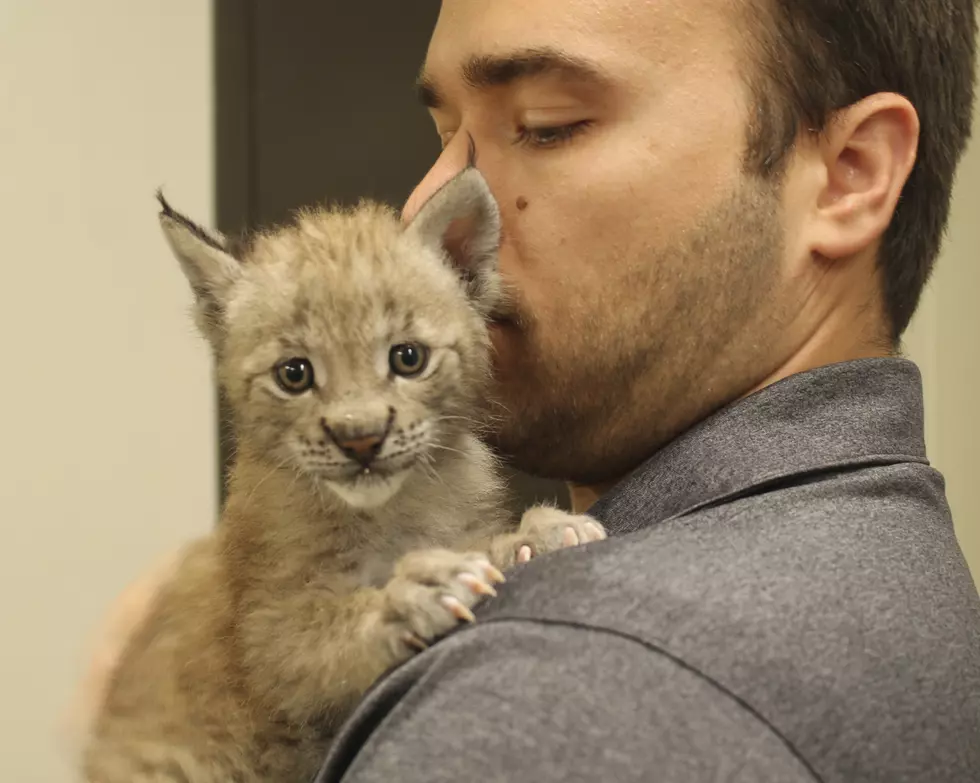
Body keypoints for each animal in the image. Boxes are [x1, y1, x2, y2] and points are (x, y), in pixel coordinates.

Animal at [84, 170, 604, 783]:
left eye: (408, 358)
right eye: (294, 374)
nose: (360, 438)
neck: (393, 507)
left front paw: (537, 534)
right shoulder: (266, 636)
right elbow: (328, 629)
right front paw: (406, 597)